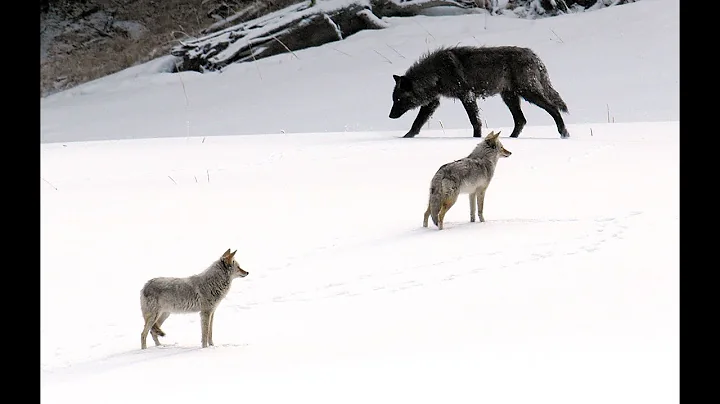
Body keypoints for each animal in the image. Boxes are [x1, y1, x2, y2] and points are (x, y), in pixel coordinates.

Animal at [390, 46, 572, 139]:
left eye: (398, 100)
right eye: (394, 99)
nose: (390, 116)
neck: (436, 73)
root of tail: (534, 56)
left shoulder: (467, 96)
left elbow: (474, 121)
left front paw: (476, 138)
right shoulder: (433, 102)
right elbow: (417, 123)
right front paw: (406, 138)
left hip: (528, 94)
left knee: (553, 108)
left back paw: (564, 133)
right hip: (510, 97)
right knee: (521, 120)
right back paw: (510, 139)